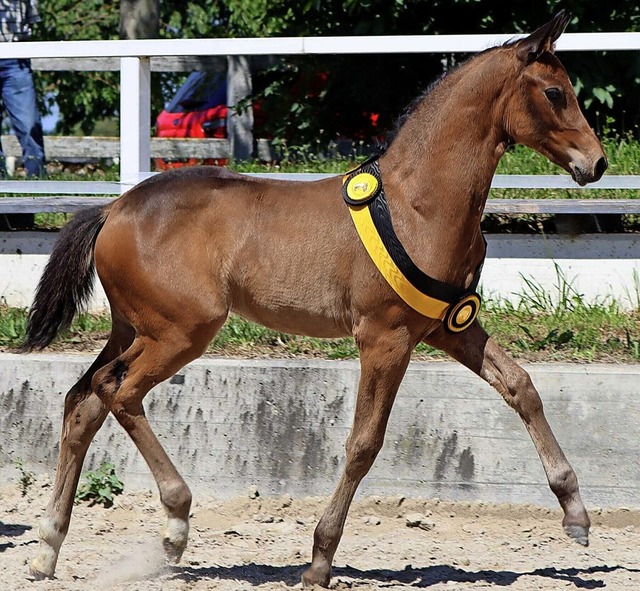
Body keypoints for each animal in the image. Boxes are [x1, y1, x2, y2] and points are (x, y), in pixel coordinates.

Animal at [22, 11, 604, 588]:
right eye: (555, 92)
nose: (596, 163)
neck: (418, 202)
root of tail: (113, 209)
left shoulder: (448, 326)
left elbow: (521, 387)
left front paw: (575, 513)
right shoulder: (385, 338)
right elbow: (364, 442)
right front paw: (320, 559)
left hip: (133, 326)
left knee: (83, 401)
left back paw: (48, 548)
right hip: (181, 330)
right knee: (116, 390)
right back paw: (175, 523)